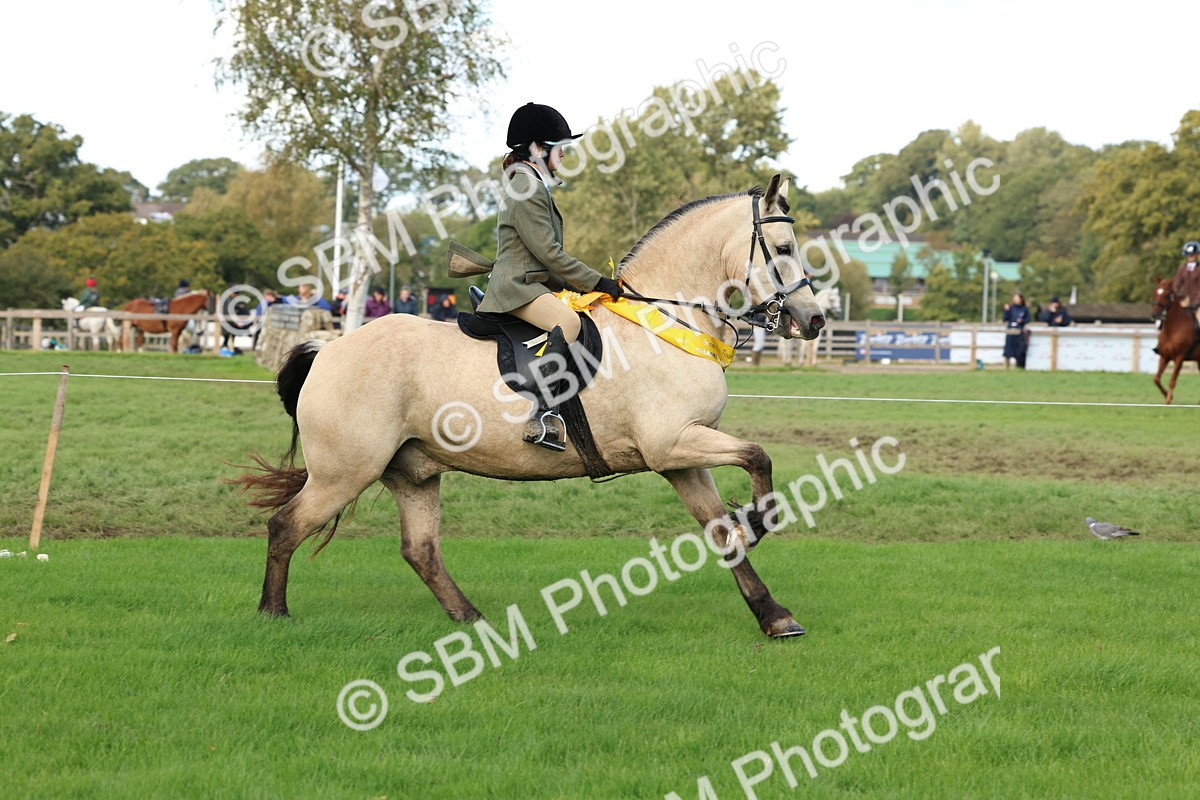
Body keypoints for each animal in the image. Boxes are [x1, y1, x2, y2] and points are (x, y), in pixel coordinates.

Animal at [232, 174, 825, 639]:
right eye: (785, 247)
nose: (814, 319)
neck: (667, 318)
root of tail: (328, 348)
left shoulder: (683, 456)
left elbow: (722, 531)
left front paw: (773, 615)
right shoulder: (672, 444)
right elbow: (759, 457)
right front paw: (759, 521)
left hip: (413, 472)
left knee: (420, 550)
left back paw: (473, 620)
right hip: (346, 472)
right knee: (285, 526)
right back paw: (273, 614)